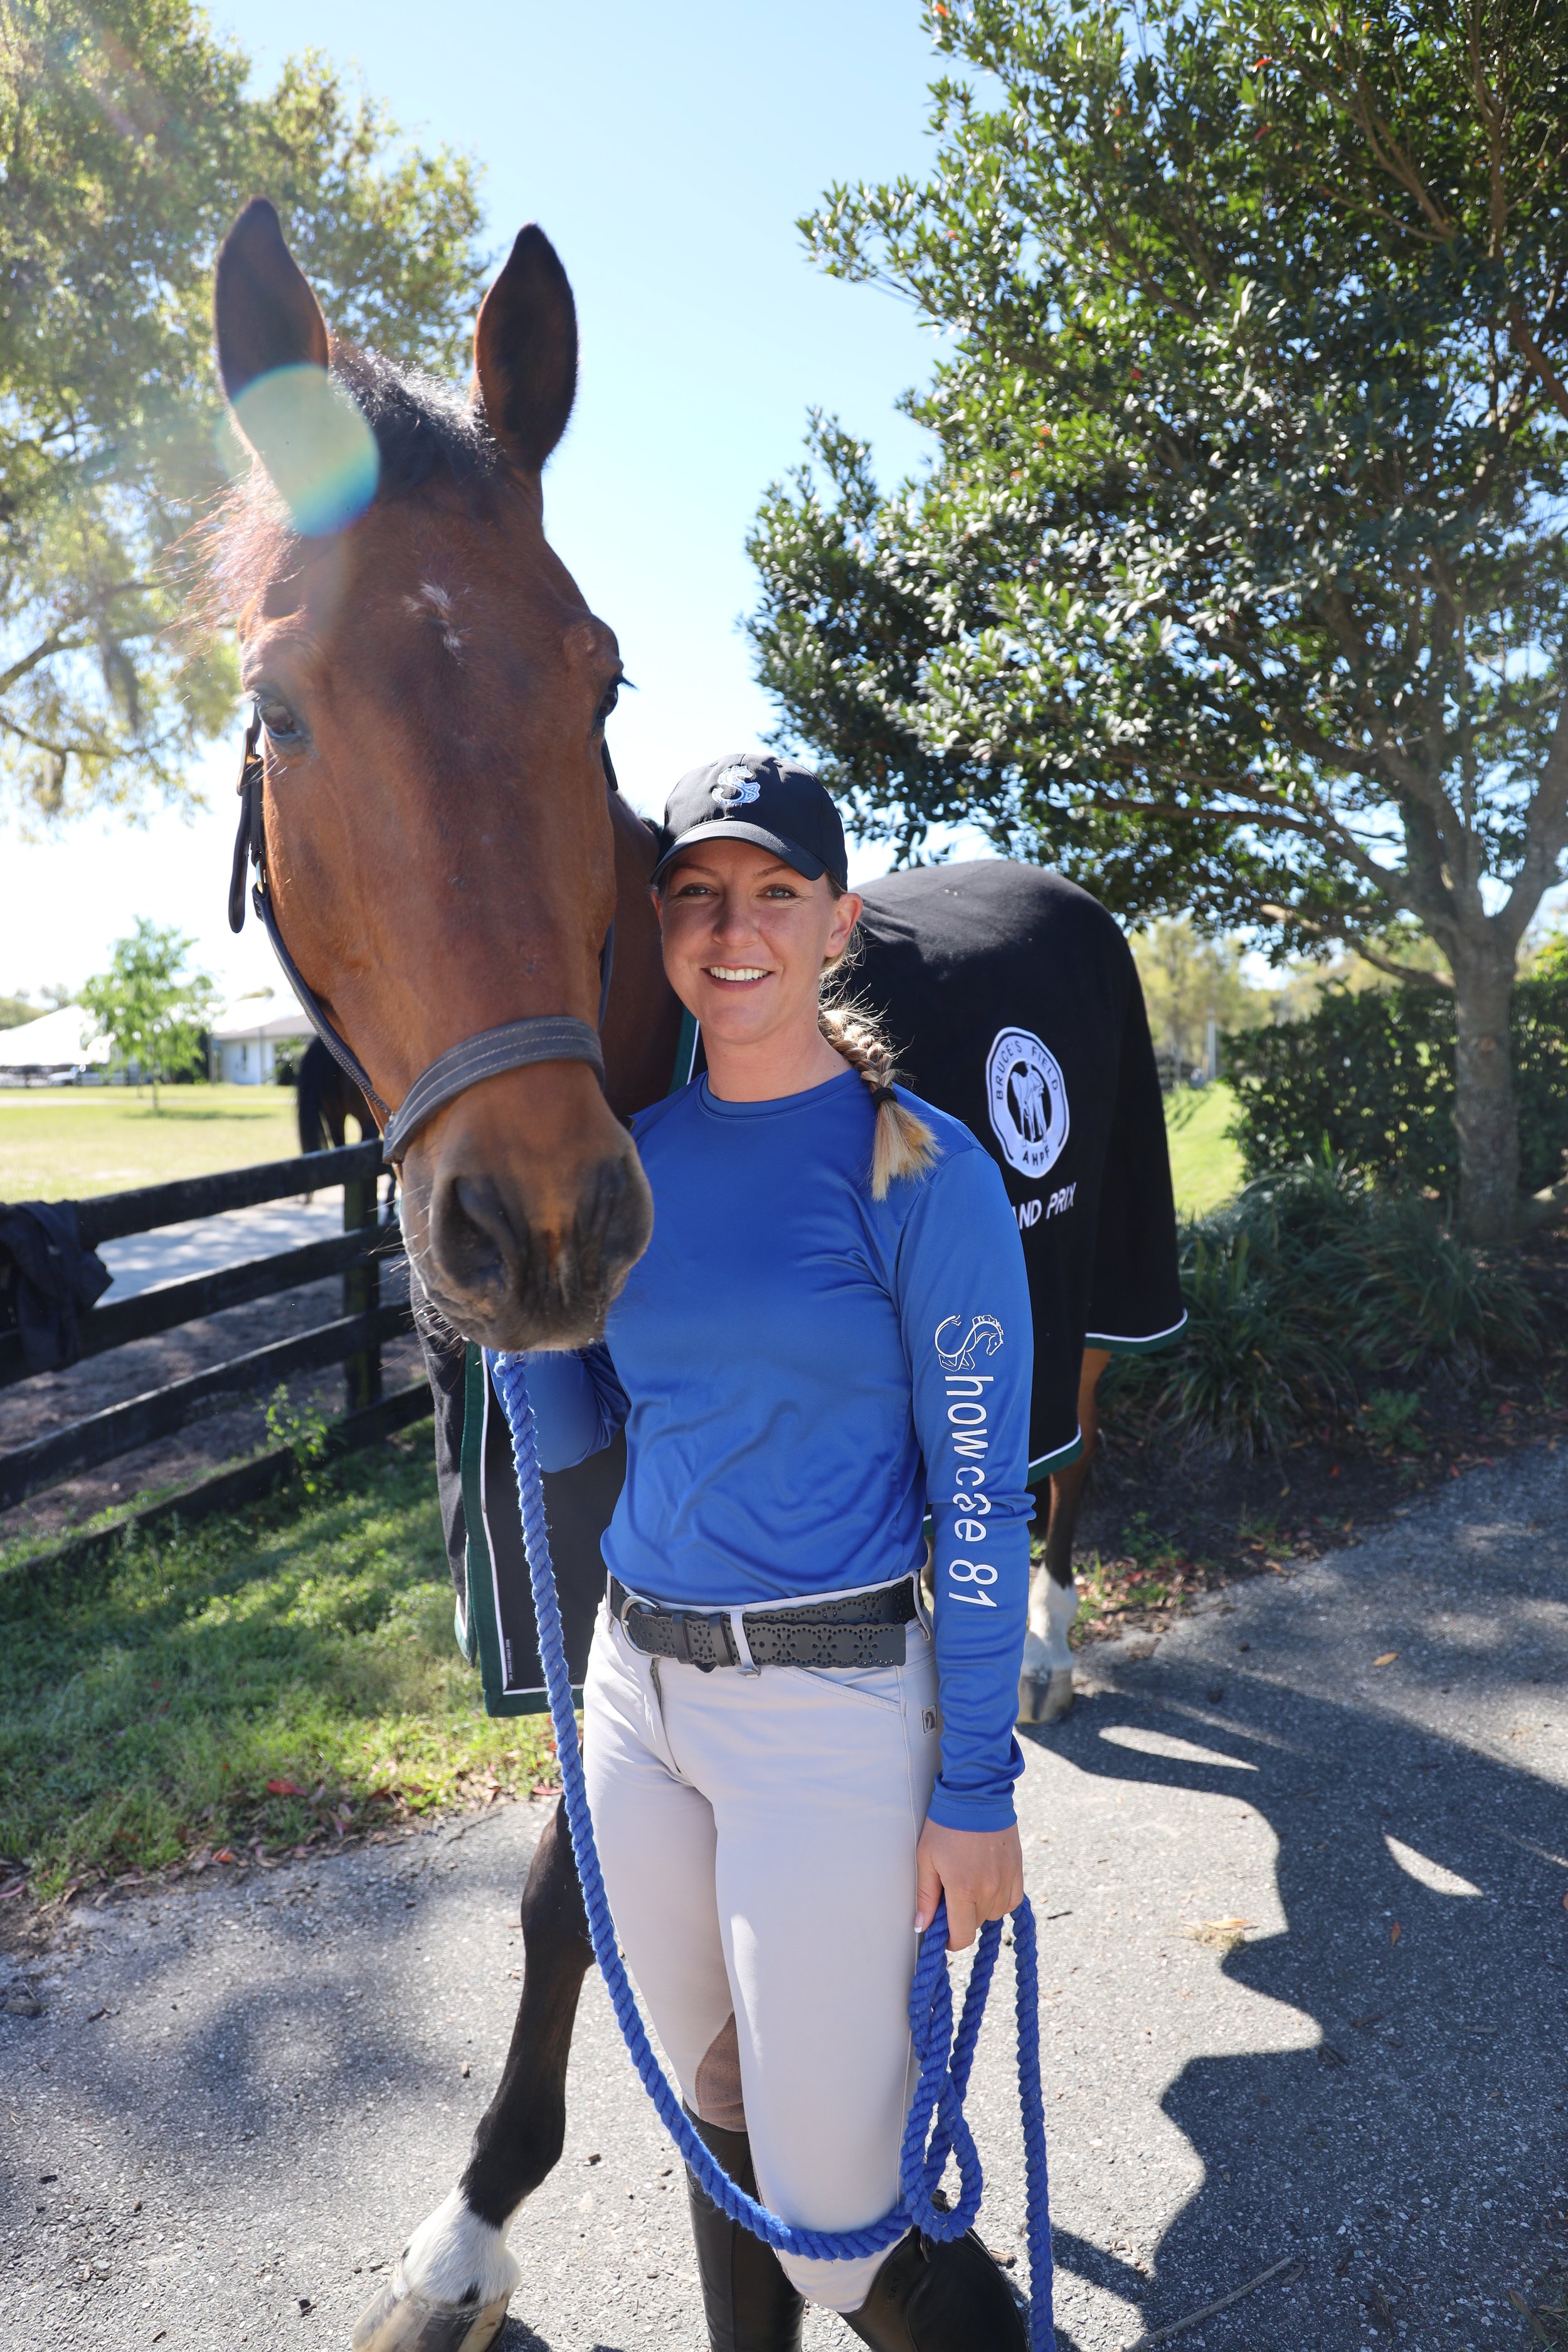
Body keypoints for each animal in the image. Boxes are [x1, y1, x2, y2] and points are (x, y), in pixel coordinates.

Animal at [206, 198, 1180, 2352]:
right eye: (285, 705)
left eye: (596, 679)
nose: (545, 1222)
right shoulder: (580, 1554)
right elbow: (577, 1871)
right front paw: (470, 2214)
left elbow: (575, 1893)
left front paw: (479, 2215)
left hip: (1098, 1298)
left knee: (1069, 1457)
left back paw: (1047, 1642)